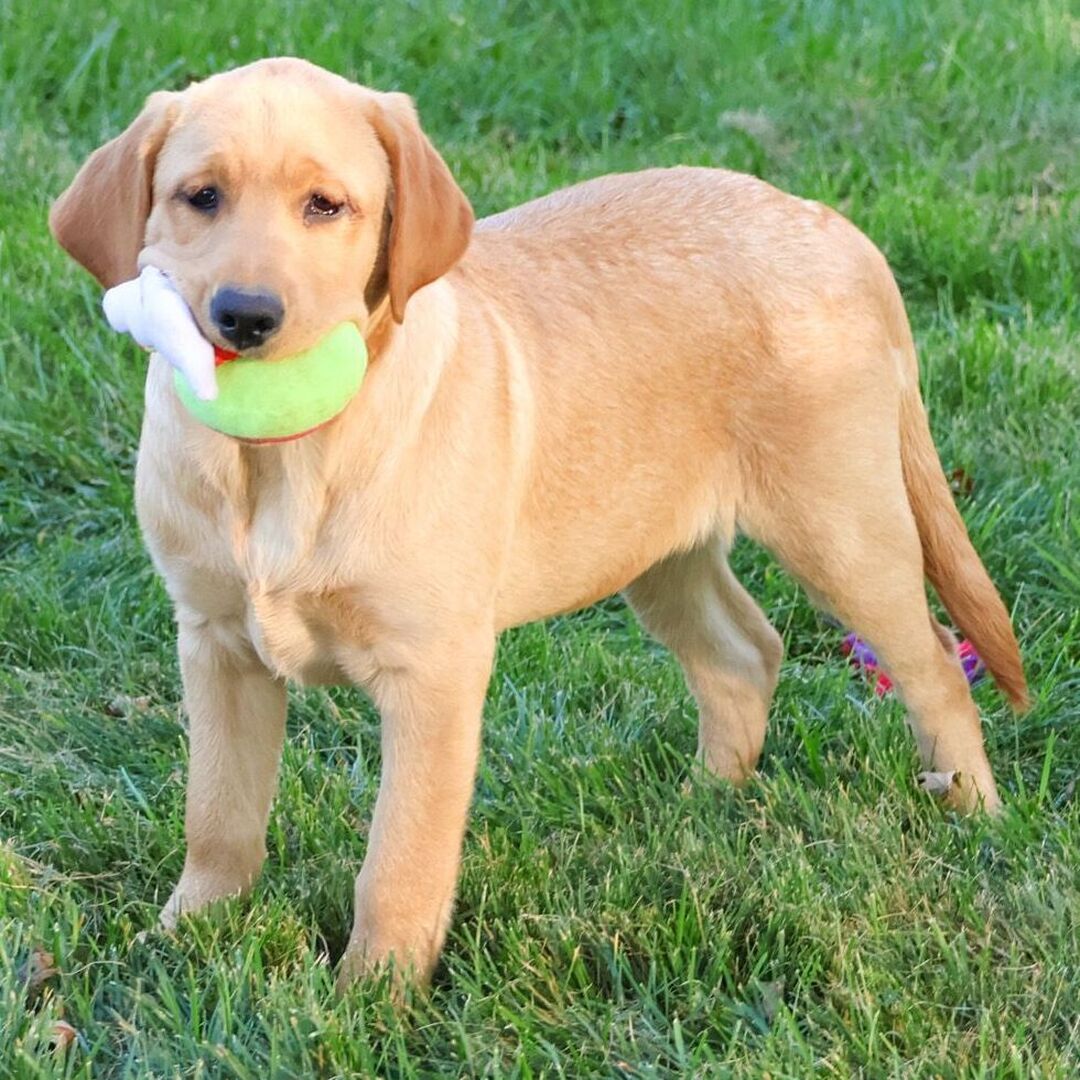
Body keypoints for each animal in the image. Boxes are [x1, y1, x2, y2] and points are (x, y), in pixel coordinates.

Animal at [50, 57, 1027, 987]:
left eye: (326, 206)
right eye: (201, 197)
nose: (246, 316)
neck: (282, 461)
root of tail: (831, 224)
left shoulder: (434, 673)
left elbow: (399, 860)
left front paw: (373, 995)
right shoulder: (217, 643)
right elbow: (218, 815)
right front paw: (185, 935)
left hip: (841, 526)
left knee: (935, 660)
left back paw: (975, 816)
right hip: (650, 543)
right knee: (744, 652)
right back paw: (700, 805)